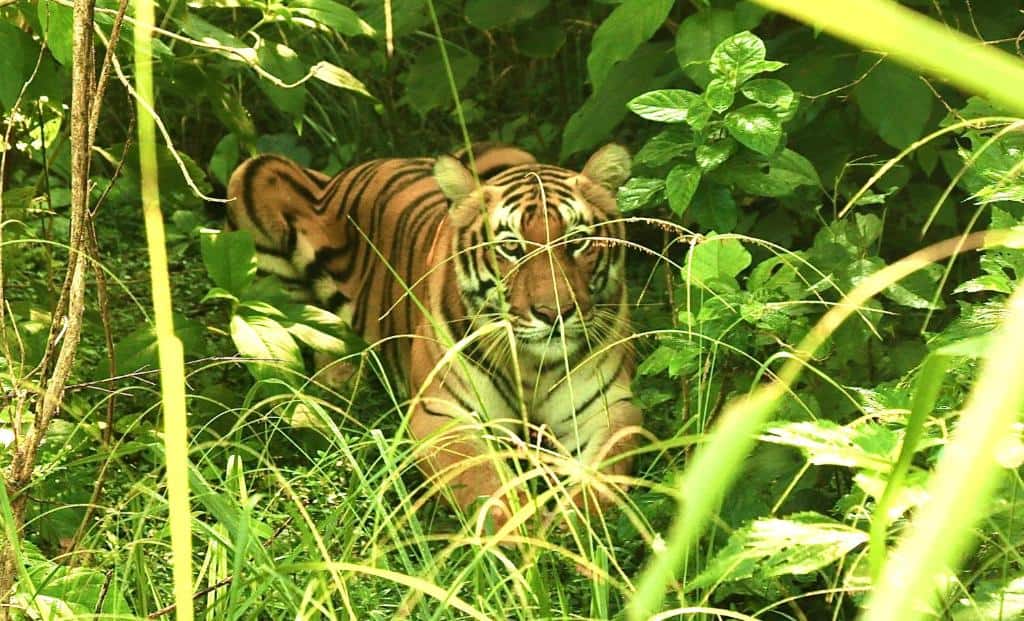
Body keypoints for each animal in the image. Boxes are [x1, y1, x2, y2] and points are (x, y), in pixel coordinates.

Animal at [226, 142, 642, 526]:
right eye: (511, 246)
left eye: (577, 242)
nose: (553, 313)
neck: (530, 365)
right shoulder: (442, 416)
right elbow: (487, 485)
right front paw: (525, 539)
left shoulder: (609, 410)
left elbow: (600, 484)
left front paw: (573, 532)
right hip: (253, 176)